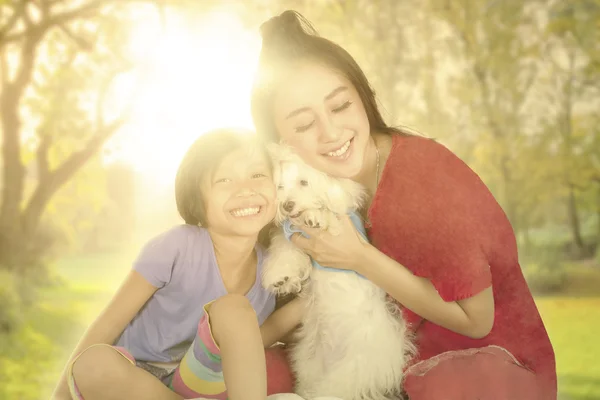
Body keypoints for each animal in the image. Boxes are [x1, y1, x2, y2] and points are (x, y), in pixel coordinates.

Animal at [264, 146, 414, 400]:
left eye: (303, 182)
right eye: (280, 187)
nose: (287, 205)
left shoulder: (339, 224)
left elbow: (329, 216)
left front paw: (314, 216)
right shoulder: (291, 237)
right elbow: (286, 249)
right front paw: (280, 277)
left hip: (352, 370)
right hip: (310, 362)